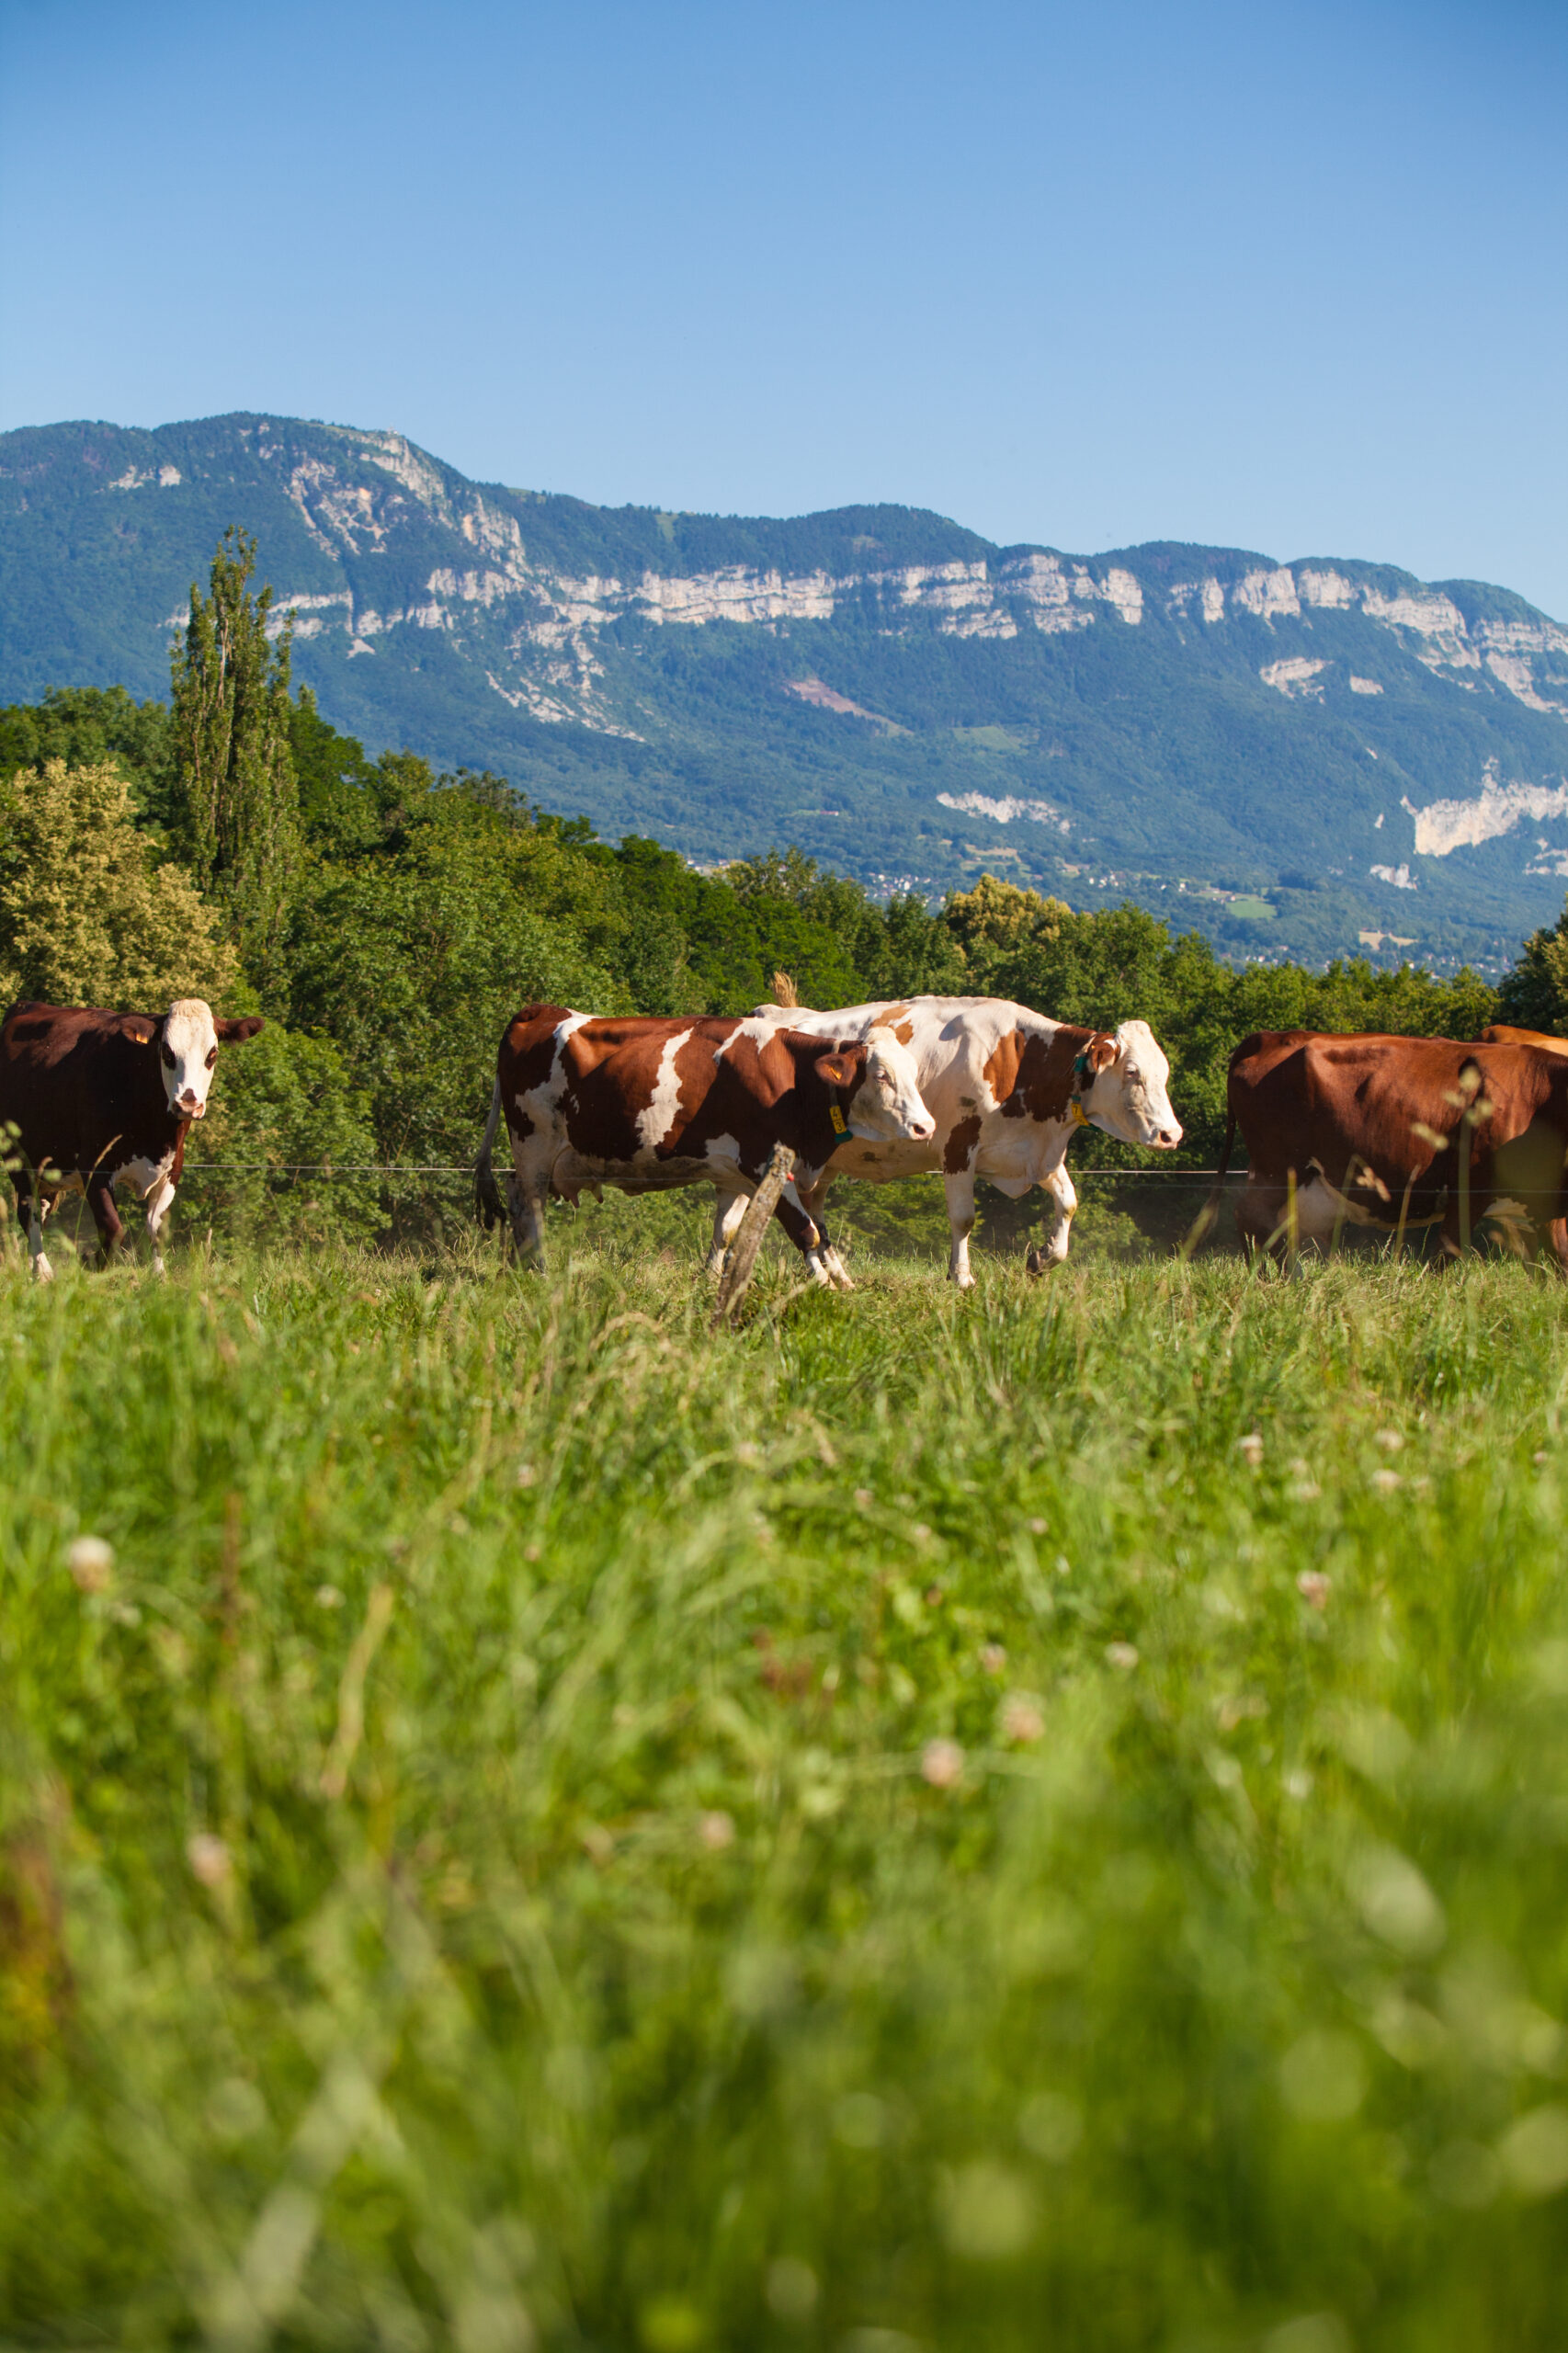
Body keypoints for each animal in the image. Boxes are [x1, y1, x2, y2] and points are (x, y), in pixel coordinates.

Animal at [0, 999, 266, 1282]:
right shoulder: (94, 1166)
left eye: (211, 1054)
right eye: (167, 1052)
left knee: (41, 1212)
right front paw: (89, 1262)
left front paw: (160, 1276)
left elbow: (156, 1229)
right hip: (20, 1161)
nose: (187, 1104)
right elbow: (113, 1228)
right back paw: (43, 1272)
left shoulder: (172, 1169)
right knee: (29, 1215)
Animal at [474, 1003, 936, 1284]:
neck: (792, 1078)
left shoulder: (734, 1176)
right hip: (533, 1143)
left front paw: (710, 1281)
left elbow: (725, 1234)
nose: (925, 1127)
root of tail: (539, 1010)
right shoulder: (765, 1162)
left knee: (517, 1198)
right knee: (530, 1203)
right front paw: (824, 1287)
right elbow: (806, 1232)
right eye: (881, 1076)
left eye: (913, 1073)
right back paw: (538, 1268)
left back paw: (520, 1267)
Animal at [707, 995, 1183, 1288]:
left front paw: (1043, 1258)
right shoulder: (958, 1147)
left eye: (1164, 1072)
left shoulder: (1031, 1153)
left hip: (820, 1165)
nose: (1172, 1134)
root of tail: (764, 1015)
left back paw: (836, 1276)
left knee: (805, 1212)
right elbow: (964, 1218)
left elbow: (1068, 1203)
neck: (1020, 1059)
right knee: (741, 1217)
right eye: (1132, 1073)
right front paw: (962, 1277)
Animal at [1215, 1029, 1568, 1267]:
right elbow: (1447, 1254)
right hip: (1277, 1166)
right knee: (1253, 1219)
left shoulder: (1543, 1203)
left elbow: (1558, 1258)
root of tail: (1269, 1037)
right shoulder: (1468, 1188)